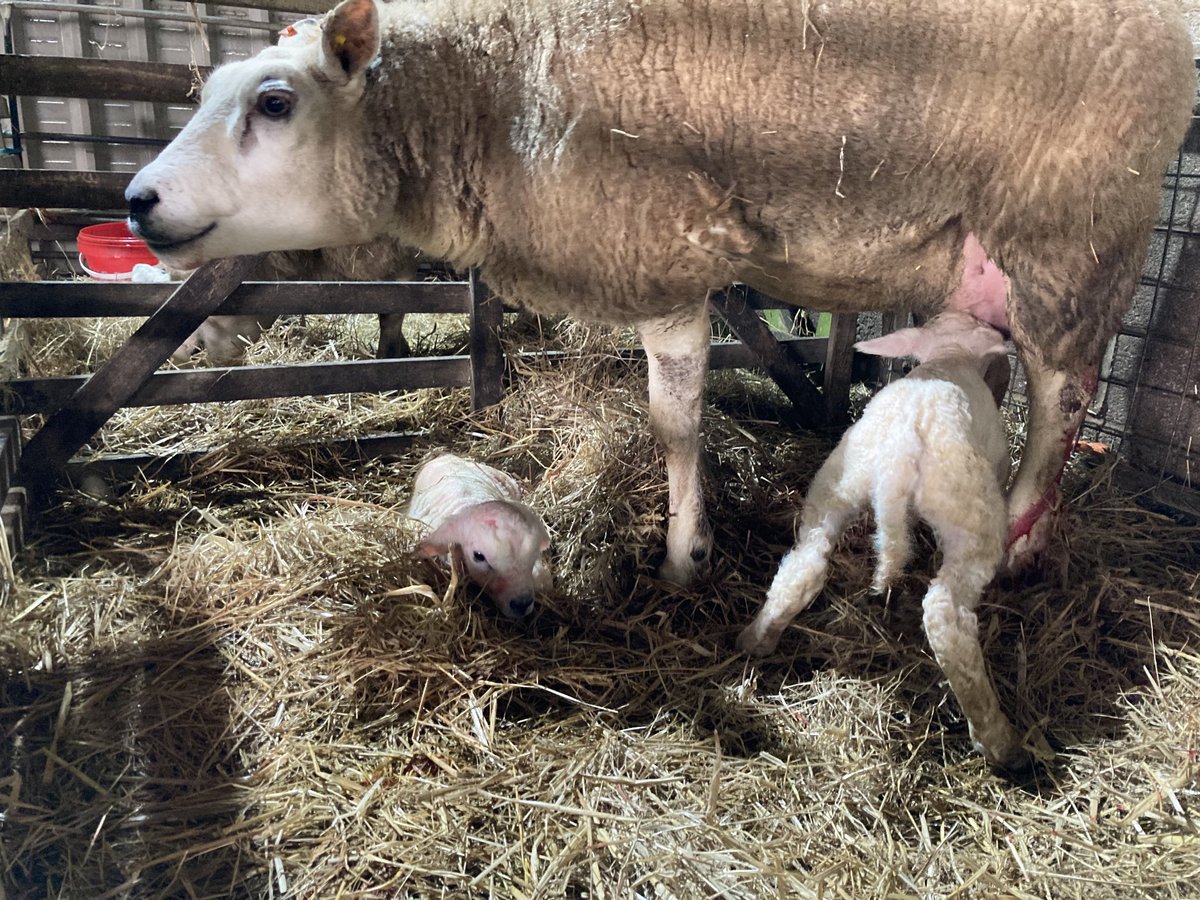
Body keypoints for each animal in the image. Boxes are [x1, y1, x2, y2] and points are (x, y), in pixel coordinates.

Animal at [126, 0, 1195, 585]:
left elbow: (674, 423)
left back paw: (1017, 543)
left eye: (276, 102)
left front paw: (685, 554)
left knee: (1064, 402)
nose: (137, 202)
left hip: (1066, 230)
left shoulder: (664, 249)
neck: (490, 92)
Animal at [734, 314, 1027, 772]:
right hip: (970, 513)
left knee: (805, 565)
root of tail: (899, 452)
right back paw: (1000, 742)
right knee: (945, 615)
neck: (949, 356)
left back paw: (757, 639)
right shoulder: (997, 462)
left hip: (836, 483)